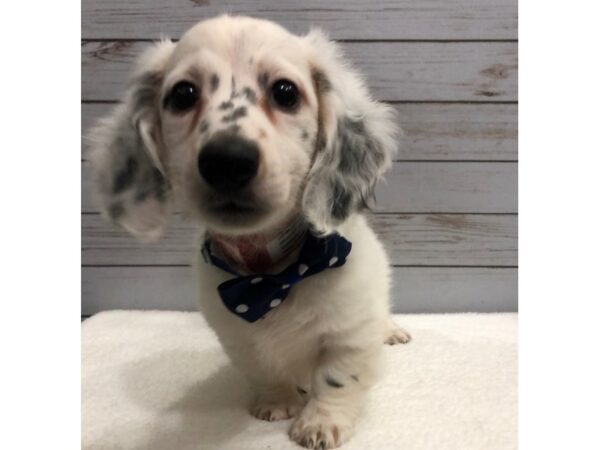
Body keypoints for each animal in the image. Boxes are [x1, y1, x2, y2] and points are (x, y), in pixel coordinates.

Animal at [89, 15, 410, 448]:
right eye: (183, 94)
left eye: (285, 92)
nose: (227, 160)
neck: (273, 274)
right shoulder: (236, 336)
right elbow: (263, 369)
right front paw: (277, 404)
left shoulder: (350, 332)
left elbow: (337, 379)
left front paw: (320, 423)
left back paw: (393, 331)